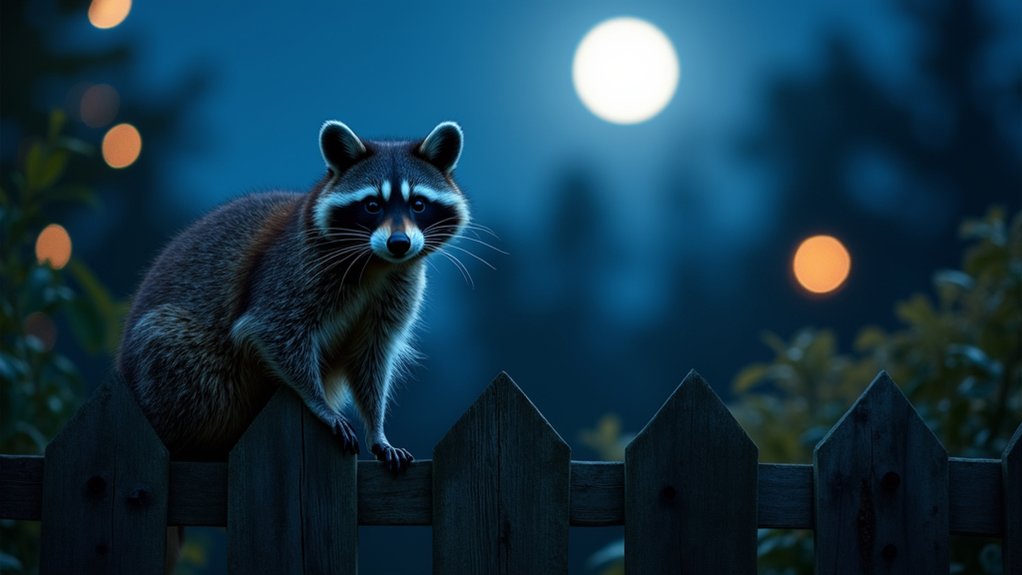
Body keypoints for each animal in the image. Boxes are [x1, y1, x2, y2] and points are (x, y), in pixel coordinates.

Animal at [116, 121, 469, 471]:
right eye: (372, 205)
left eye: (418, 204)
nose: (399, 243)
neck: (377, 263)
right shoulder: (293, 269)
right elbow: (272, 330)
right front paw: (319, 402)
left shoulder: (398, 287)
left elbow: (372, 357)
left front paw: (377, 429)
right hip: (178, 362)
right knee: (180, 353)